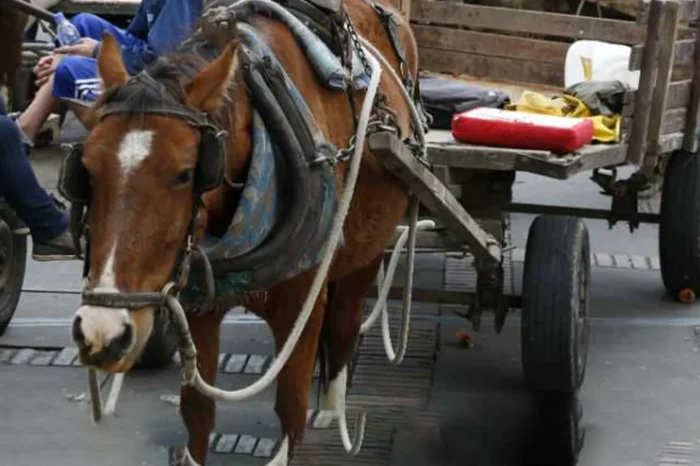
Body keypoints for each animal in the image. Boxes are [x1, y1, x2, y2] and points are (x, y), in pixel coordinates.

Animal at [66, 0, 420, 463]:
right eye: (86, 170)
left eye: (185, 174)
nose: (102, 332)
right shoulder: (197, 304)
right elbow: (197, 412)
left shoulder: (303, 303)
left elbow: (291, 409)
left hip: (367, 250)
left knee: (345, 322)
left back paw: (332, 410)